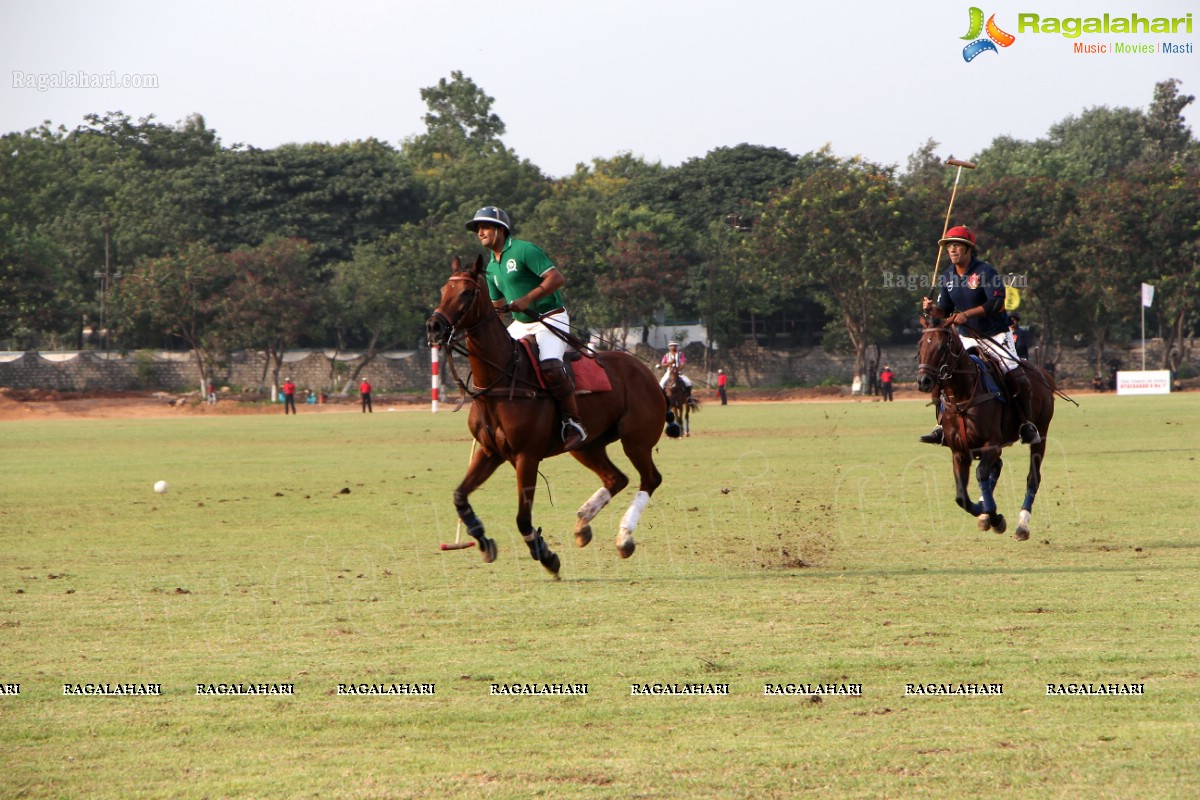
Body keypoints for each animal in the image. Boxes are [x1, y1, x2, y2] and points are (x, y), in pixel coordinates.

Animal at [424, 256, 672, 575]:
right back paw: (582, 524)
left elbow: (522, 518)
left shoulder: (526, 456)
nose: (434, 327)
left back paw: (624, 538)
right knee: (616, 478)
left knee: (650, 479)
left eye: (467, 293)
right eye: (444, 289)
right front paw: (482, 539)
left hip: (636, 440)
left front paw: (546, 555)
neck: (502, 379)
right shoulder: (490, 452)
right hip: (587, 445)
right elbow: (459, 496)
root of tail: (648, 373)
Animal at [912, 321, 1056, 542]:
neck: (961, 396)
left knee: (1033, 476)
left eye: (943, 346)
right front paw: (984, 511)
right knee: (997, 466)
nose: (924, 381)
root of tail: (1043, 372)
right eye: (920, 344)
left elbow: (981, 474)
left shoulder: (991, 444)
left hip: (1041, 433)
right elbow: (961, 497)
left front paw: (995, 518)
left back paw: (1022, 525)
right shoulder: (960, 452)